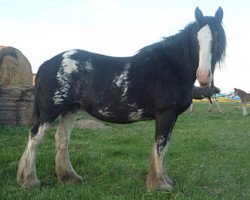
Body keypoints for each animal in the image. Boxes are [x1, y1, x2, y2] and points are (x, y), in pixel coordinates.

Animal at [16, 7, 226, 190]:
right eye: (196, 40)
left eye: (217, 38)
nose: (204, 76)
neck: (171, 66)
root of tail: (47, 63)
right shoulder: (166, 115)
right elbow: (160, 147)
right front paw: (160, 184)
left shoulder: (169, 118)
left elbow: (164, 148)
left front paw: (165, 180)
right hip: (50, 111)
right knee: (35, 137)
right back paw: (30, 181)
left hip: (70, 109)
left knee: (62, 139)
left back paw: (70, 177)